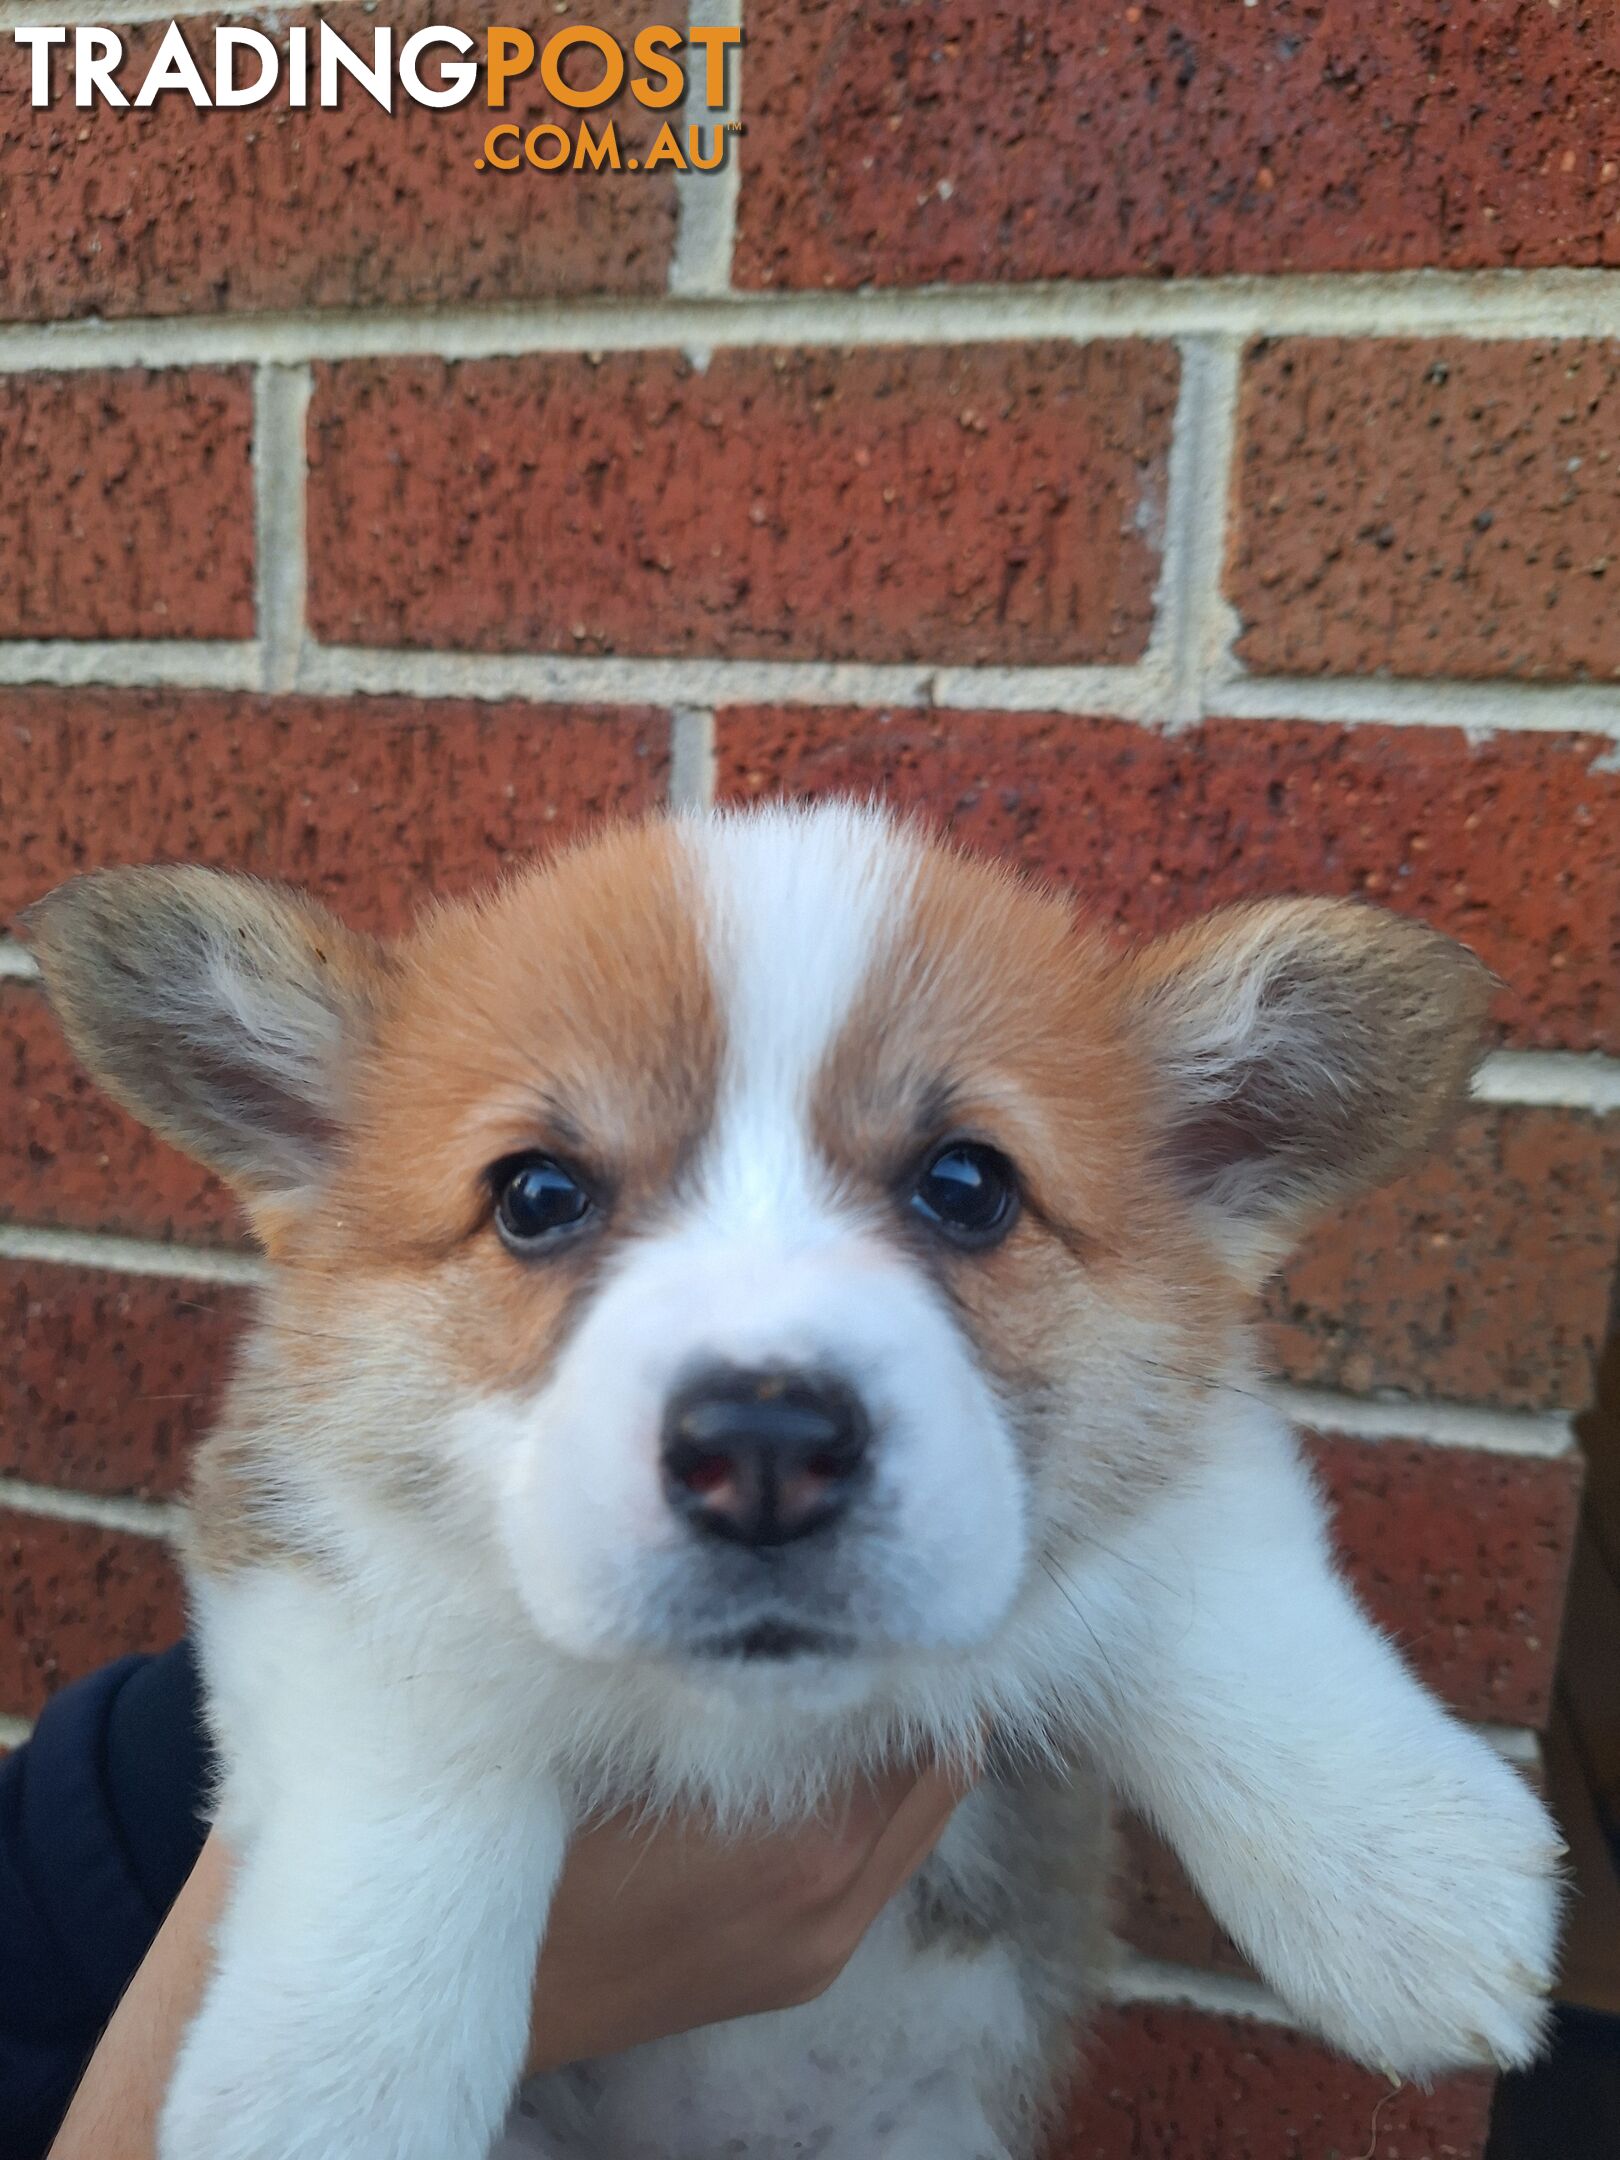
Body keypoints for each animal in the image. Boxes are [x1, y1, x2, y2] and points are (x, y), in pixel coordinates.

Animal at [31, 807, 1563, 2160]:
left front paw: (1413, 1888)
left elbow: (1217, 1602)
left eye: (966, 1185)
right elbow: (425, 1742)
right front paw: (331, 2085)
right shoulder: (295, 1512)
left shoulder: (1189, 1433)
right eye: (537, 1196)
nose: (762, 1449)